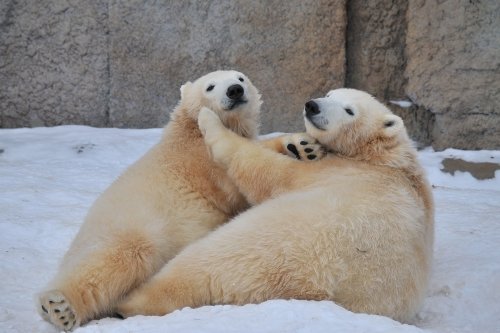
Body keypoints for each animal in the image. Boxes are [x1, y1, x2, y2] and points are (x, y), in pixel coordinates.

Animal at [36, 70, 324, 330]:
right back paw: (59, 307)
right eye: (210, 86)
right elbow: (234, 177)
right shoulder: (199, 161)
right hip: (126, 230)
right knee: (112, 261)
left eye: (241, 78)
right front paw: (293, 144)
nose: (235, 90)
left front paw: (304, 146)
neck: (187, 128)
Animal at [116, 87, 434, 322]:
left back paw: (130, 302)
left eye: (349, 110)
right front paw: (300, 145)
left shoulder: (338, 171)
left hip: (265, 248)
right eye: (330, 94)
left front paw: (209, 119)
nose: (313, 106)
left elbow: (262, 170)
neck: (385, 160)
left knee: (198, 263)